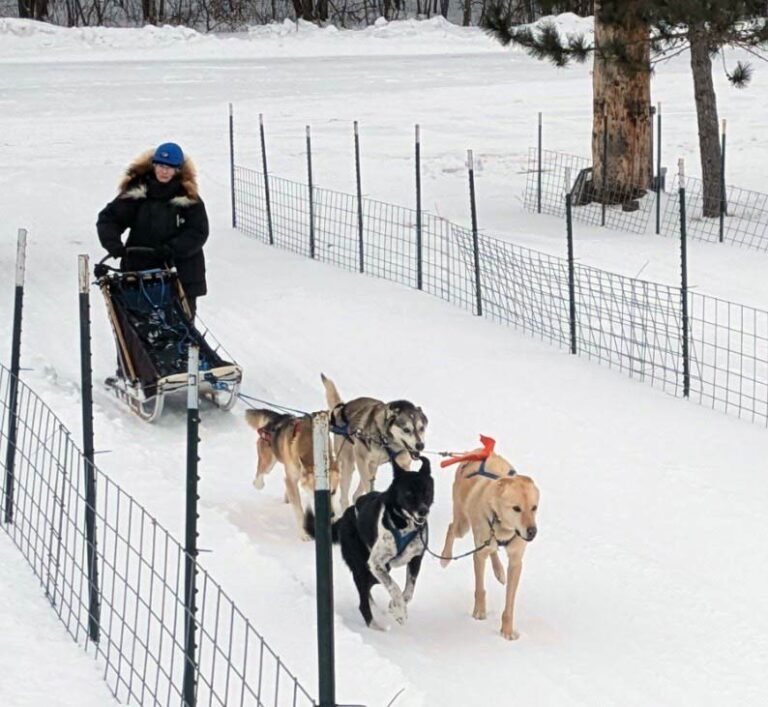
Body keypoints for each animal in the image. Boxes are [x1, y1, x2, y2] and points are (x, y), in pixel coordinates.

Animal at [308, 456, 438, 628]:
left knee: (371, 588)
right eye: (409, 492)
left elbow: (409, 591)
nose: (423, 511)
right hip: (363, 567)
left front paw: (395, 606)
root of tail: (345, 516)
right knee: (363, 603)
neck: (404, 524)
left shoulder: (416, 558)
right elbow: (394, 587)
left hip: (378, 569)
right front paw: (400, 612)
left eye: (427, 491)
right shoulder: (376, 562)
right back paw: (376, 627)